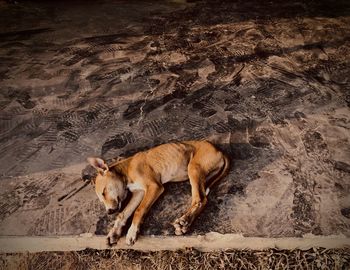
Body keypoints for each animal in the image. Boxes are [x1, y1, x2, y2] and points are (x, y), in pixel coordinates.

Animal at [87, 140, 230, 246]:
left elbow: (139, 210)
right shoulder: (138, 193)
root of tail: (219, 150)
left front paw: (132, 232)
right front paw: (114, 232)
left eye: (104, 192)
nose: (109, 212)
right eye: (101, 199)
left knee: (199, 199)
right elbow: (123, 213)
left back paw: (184, 221)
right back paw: (185, 223)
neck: (126, 170)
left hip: (193, 168)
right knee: (203, 197)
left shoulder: (154, 187)